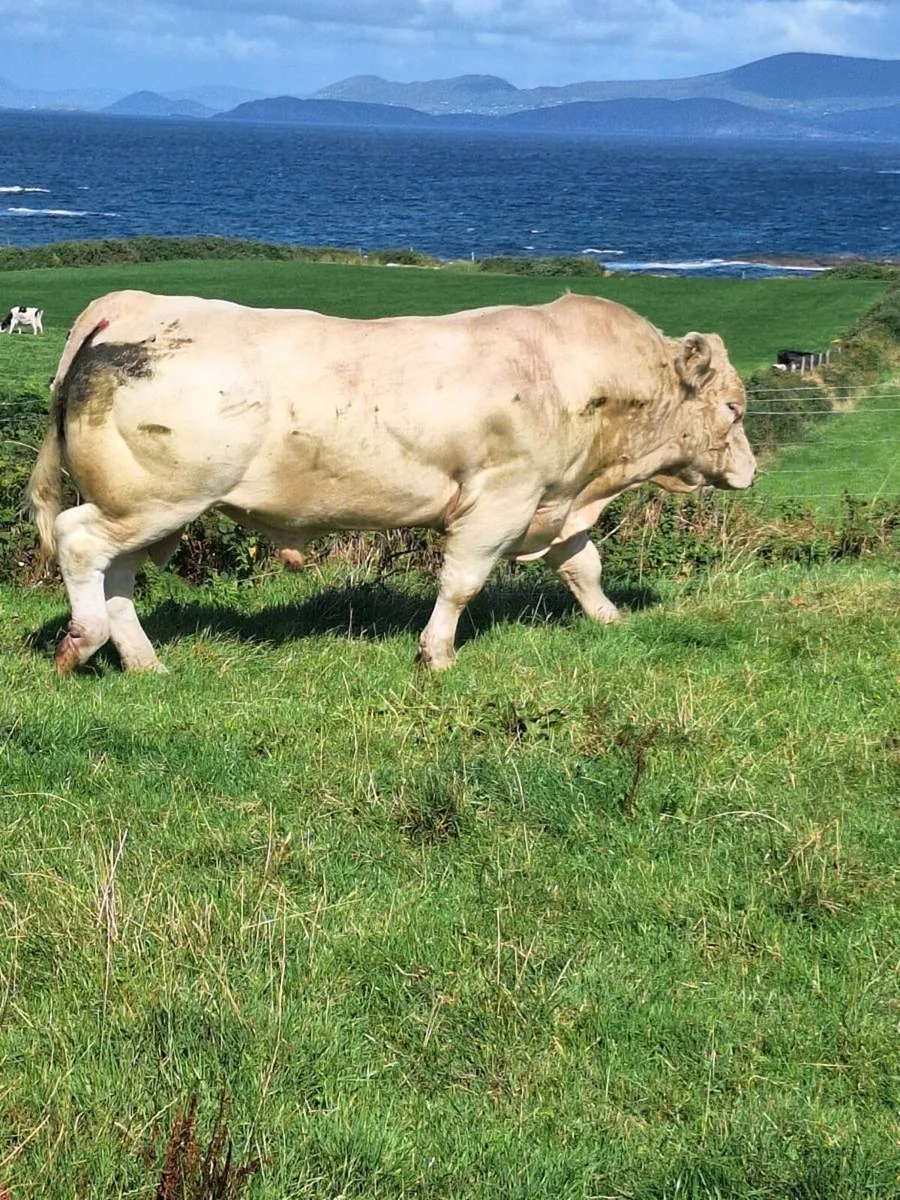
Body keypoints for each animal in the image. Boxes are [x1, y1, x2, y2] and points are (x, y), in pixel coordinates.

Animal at [28, 289, 755, 675]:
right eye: (734, 407)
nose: (750, 469)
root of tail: (134, 304)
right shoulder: (504, 497)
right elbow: (462, 581)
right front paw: (437, 654)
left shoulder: (554, 500)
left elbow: (585, 566)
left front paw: (609, 619)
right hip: (153, 498)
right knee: (79, 544)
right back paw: (82, 642)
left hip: (149, 508)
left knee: (118, 578)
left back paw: (145, 662)